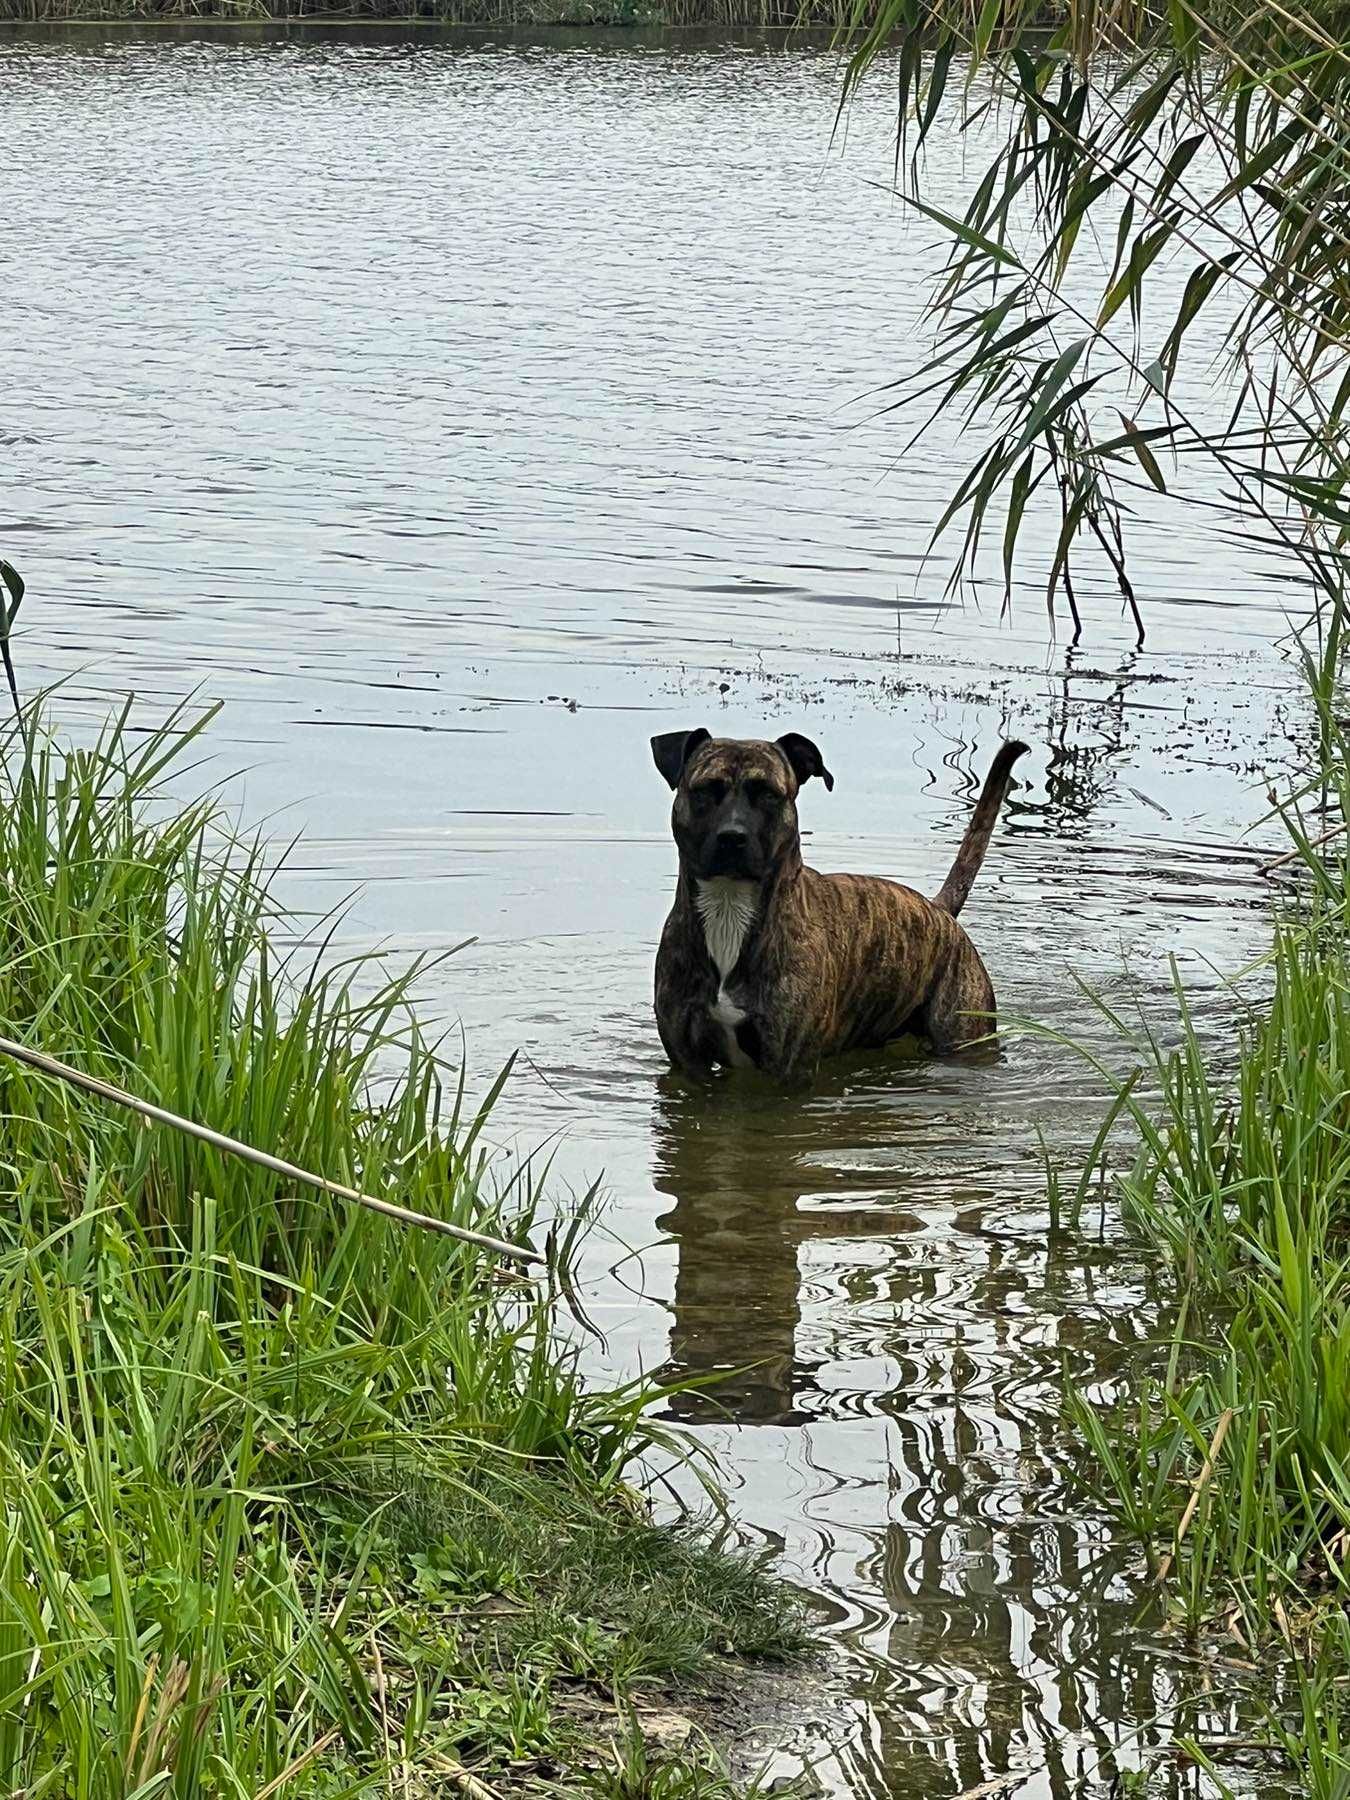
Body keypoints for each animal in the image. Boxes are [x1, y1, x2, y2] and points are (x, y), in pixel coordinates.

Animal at [651, 723, 1022, 1072]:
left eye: (769, 794)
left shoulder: (789, 1067)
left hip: (963, 1034)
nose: (732, 836)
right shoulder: (687, 1062)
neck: (729, 907)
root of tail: (939, 910)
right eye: (704, 790)